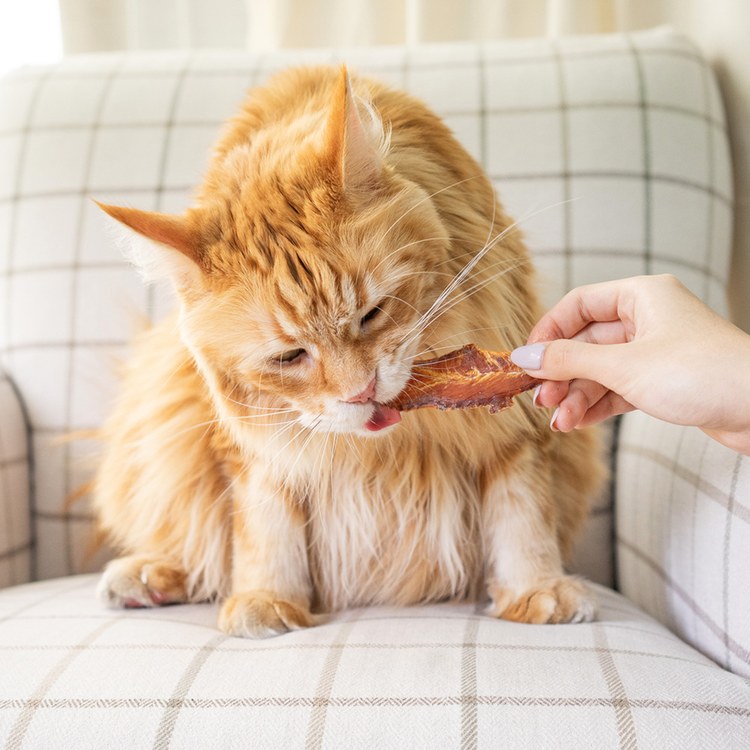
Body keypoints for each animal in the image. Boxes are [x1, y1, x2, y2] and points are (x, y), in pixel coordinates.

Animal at [92, 66, 604, 640]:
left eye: (372, 314)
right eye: (289, 357)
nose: (361, 392)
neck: (384, 452)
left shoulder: (512, 427)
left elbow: (522, 511)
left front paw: (538, 588)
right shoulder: (258, 448)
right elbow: (264, 525)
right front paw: (266, 598)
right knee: (197, 551)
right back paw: (147, 577)